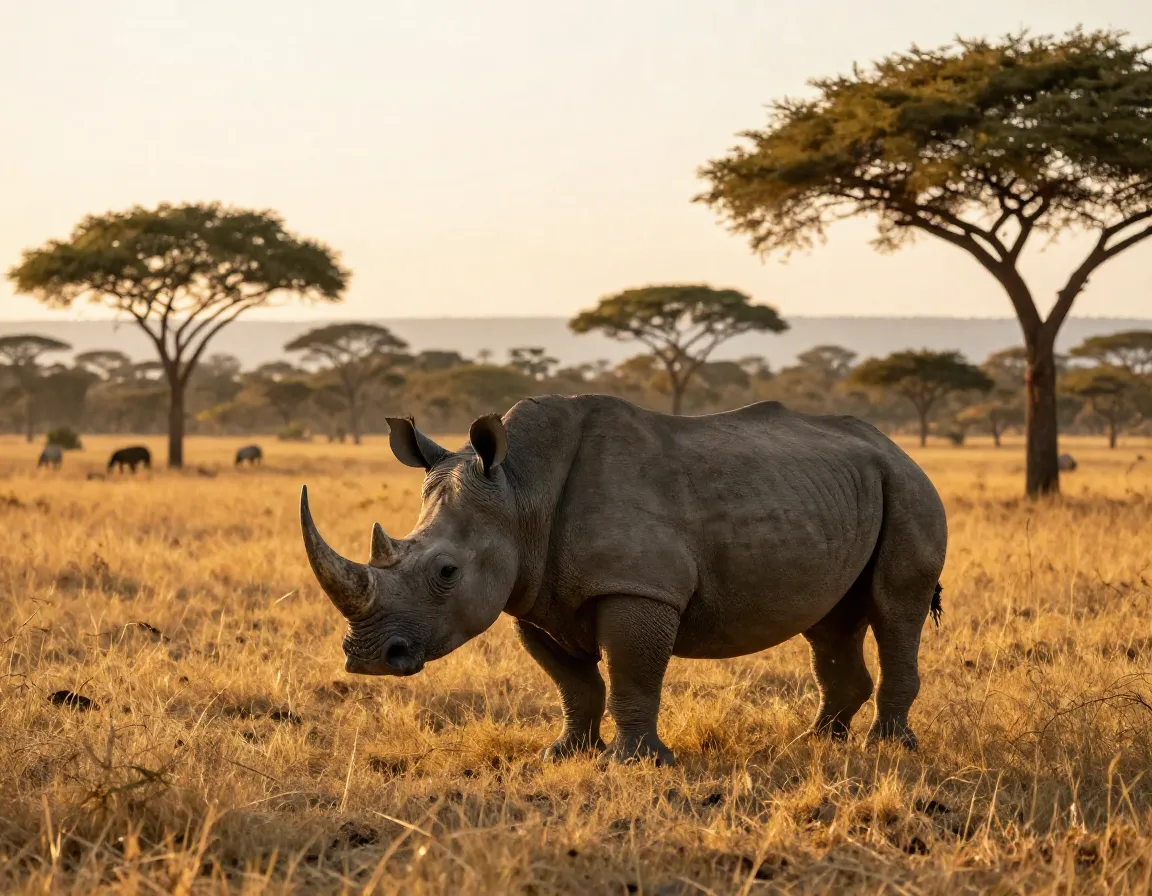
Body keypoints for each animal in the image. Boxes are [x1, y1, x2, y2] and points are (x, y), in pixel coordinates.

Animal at [299, 396, 947, 764]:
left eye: (446, 572)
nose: (368, 659)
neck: (520, 489)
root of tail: (896, 447)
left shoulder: (638, 588)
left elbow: (632, 675)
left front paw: (635, 763)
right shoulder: (535, 593)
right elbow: (574, 683)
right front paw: (562, 755)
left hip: (909, 486)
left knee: (895, 609)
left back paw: (887, 750)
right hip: (844, 490)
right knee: (830, 624)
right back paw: (814, 744)